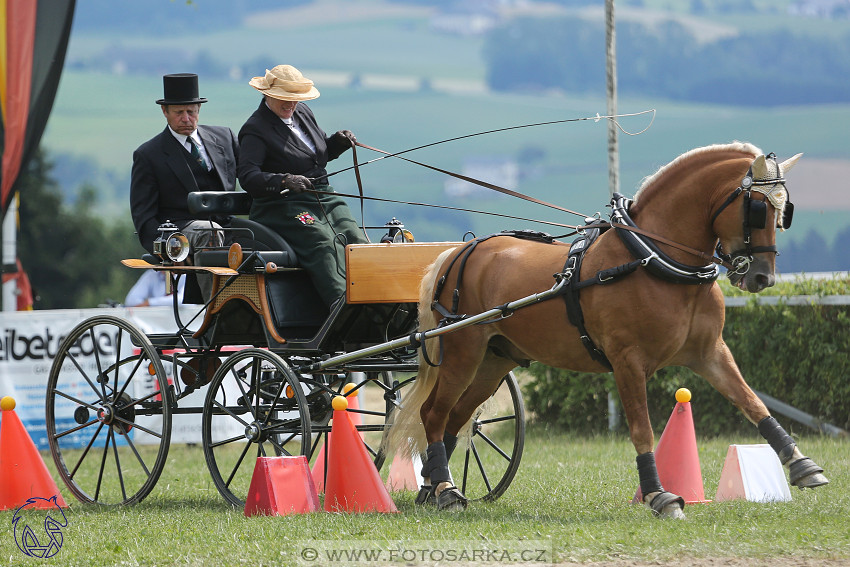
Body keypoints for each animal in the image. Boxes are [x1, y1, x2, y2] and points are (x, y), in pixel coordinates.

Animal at [390, 143, 828, 520]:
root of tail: (459, 252)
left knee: (455, 418)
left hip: (494, 362)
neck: (654, 258)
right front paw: (659, 495)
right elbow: (642, 429)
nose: (761, 277)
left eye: (785, 210)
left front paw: (801, 464)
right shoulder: (628, 361)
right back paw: (446, 491)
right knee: (434, 414)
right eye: (756, 208)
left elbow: (751, 402)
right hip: (464, 353)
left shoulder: (710, 353)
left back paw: (432, 487)